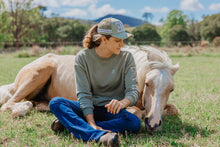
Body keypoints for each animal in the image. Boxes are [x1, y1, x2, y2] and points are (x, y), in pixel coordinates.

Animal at [0, 45, 179, 132]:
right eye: (148, 83)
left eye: (171, 90)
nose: (154, 124)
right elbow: (135, 112)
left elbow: (174, 110)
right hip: (38, 74)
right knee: (10, 104)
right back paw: (20, 110)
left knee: (34, 102)